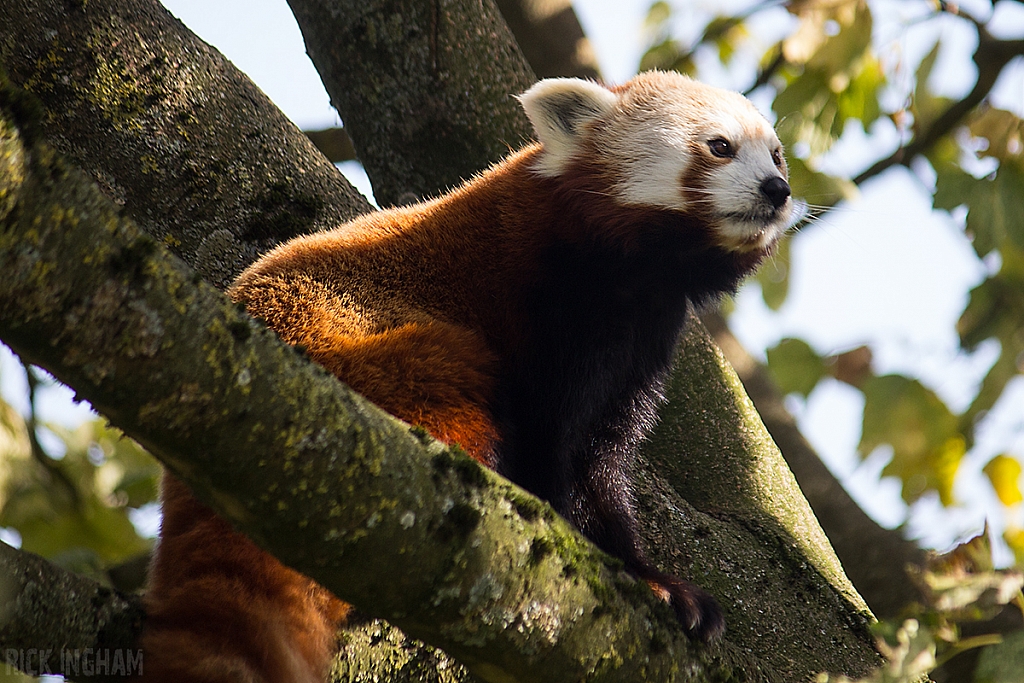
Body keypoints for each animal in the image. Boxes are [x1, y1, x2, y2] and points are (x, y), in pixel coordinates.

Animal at [140, 70, 790, 683]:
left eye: (777, 155)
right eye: (720, 147)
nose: (777, 189)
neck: (637, 272)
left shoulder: (643, 341)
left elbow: (601, 452)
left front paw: (652, 575)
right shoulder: (551, 306)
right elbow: (556, 447)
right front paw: (630, 571)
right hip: (394, 356)